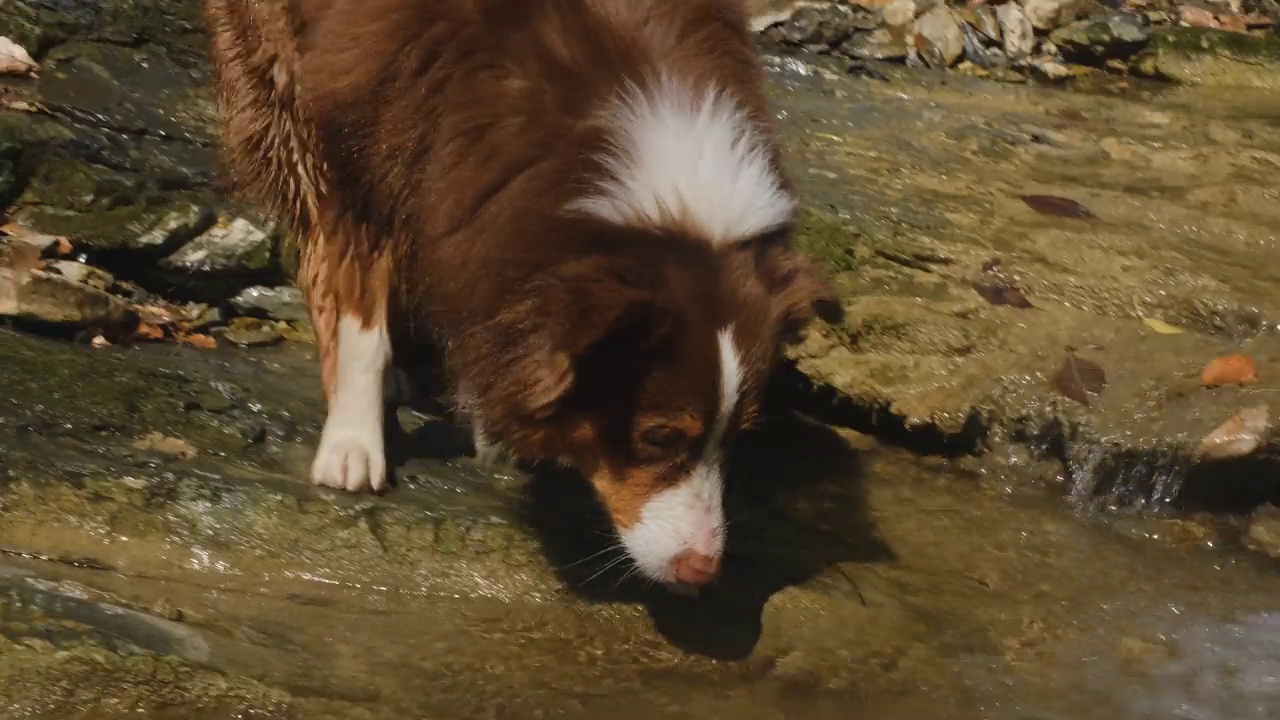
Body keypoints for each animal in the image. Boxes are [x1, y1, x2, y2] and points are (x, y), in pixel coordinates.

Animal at [202, 0, 839, 586]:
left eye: (737, 438)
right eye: (657, 437)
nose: (702, 573)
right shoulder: (365, 117)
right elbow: (359, 306)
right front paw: (354, 444)